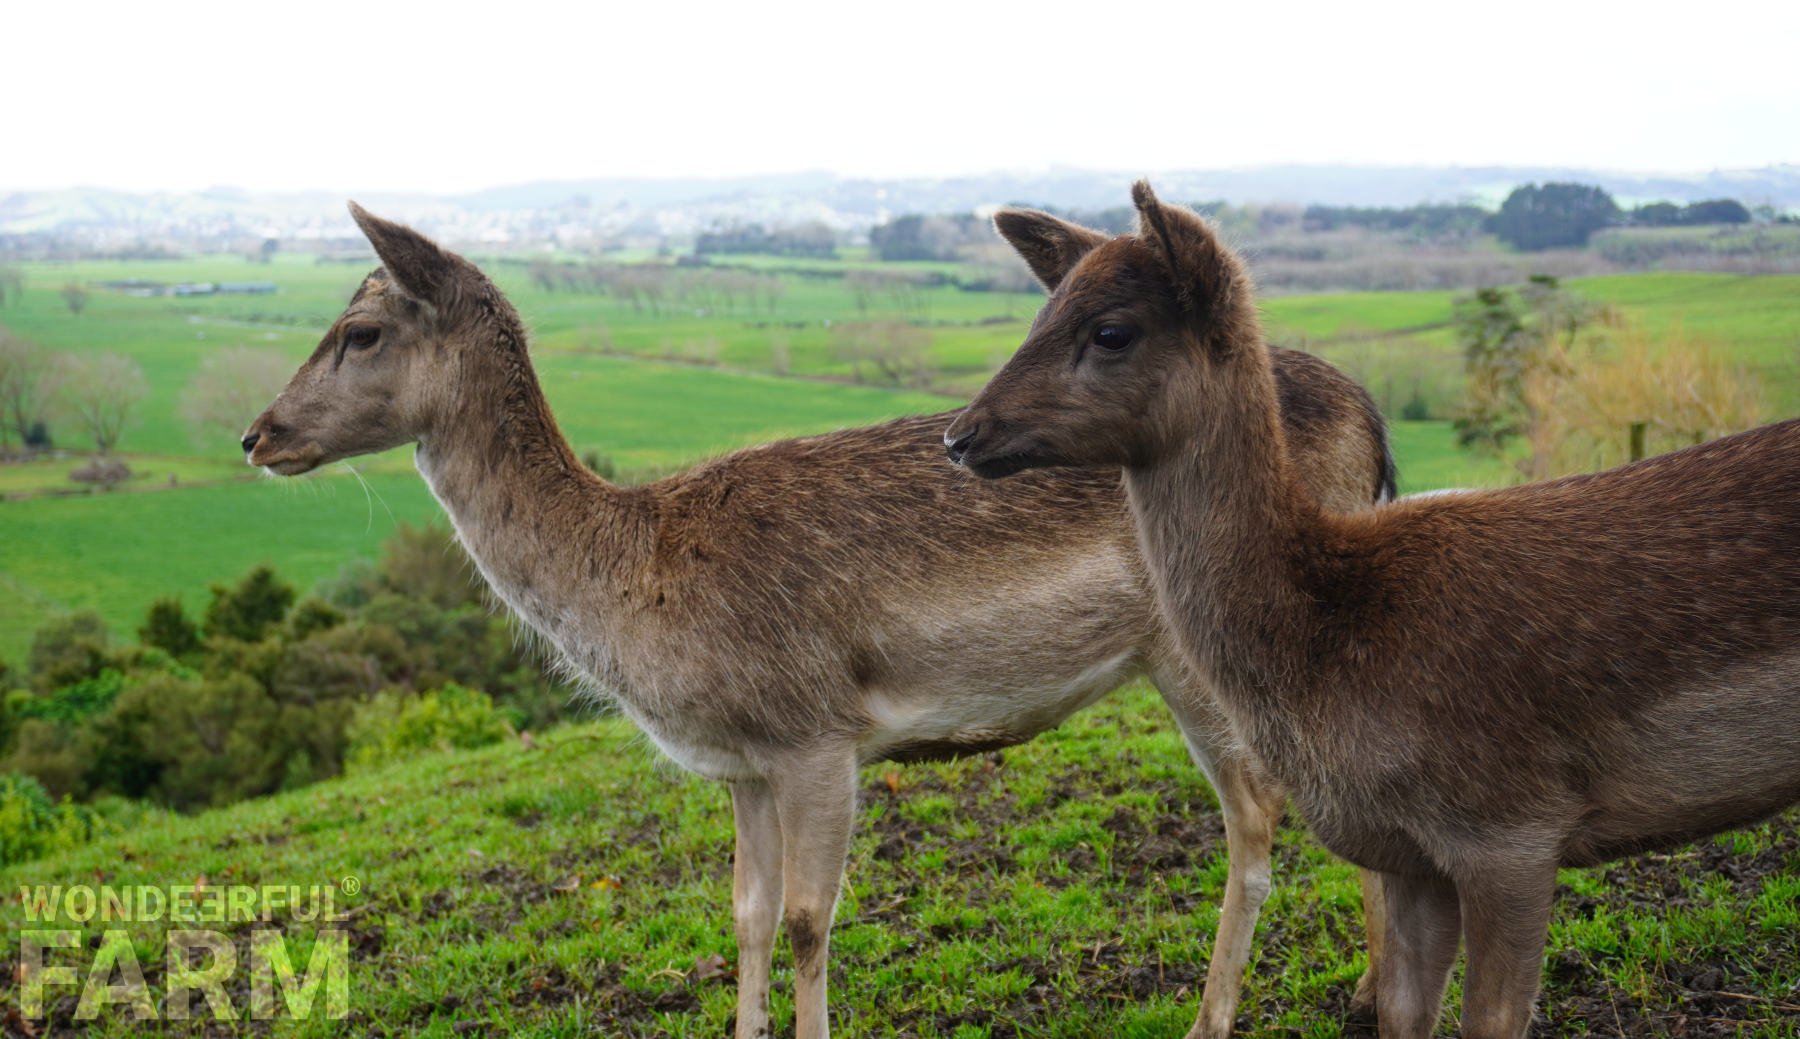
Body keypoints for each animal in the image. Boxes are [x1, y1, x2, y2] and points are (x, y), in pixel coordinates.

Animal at [239, 202, 1389, 1037]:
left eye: (359, 331)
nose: (257, 434)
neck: (640, 587)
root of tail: (1373, 428)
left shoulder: (816, 730)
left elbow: (806, 919)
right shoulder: (743, 764)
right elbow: (745, 916)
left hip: (1208, 653)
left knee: (1260, 816)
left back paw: (1220, 1017)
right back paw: (1372, 1001)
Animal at [943, 178, 1800, 1037]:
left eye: (1111, 330)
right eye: (1041, 313)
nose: (960, 434)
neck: (1335, 646)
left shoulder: (1513, 828)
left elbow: (1489, 1017)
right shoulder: (1407, 853)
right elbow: (1401, 1010)